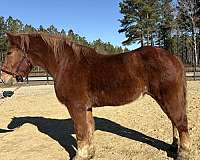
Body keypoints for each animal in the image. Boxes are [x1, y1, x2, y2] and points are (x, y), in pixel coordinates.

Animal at [0, 32, 191, 160]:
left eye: (9, 53)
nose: (3, 78)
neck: (65, 64)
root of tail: (174, 57)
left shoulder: (75, 107)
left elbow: (80, 131)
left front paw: (80, 155)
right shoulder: (86, 107)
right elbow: (89, 129)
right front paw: (89, 153)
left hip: (168, 98)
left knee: (180, 122)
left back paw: (183, 152)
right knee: (174, 121)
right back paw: (174, 146)